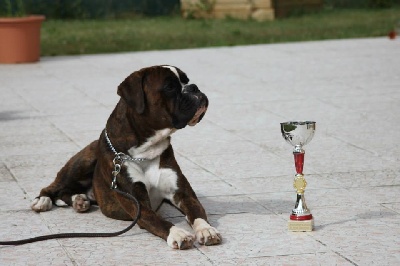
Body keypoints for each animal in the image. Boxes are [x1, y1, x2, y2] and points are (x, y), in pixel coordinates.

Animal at [30, 65, 222, 249]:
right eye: (169, 87)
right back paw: (43, 201)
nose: (194, 87)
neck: (146, 151)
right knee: (54, 187)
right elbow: (160, 221)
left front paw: (206, 230)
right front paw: (178, 233)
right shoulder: (140, 206)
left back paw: (79, 200)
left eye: (186, 80)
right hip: (82, 162)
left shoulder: (183, 195)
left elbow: (197, 213)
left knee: (66, 192)